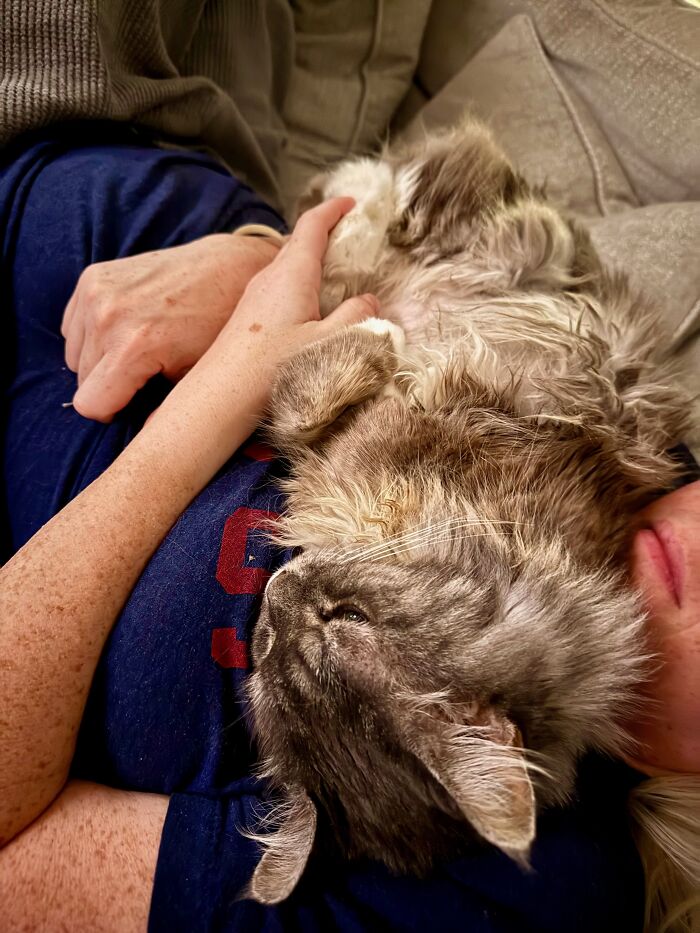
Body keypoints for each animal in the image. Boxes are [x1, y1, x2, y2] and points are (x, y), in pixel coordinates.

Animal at [243, 120, 696, 928]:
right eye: (263, 651)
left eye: (345, 617)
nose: (275, 594)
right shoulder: (328, 445)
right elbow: (303, 393)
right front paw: (383, 322)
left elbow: (308, 381)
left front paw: (383, 328)